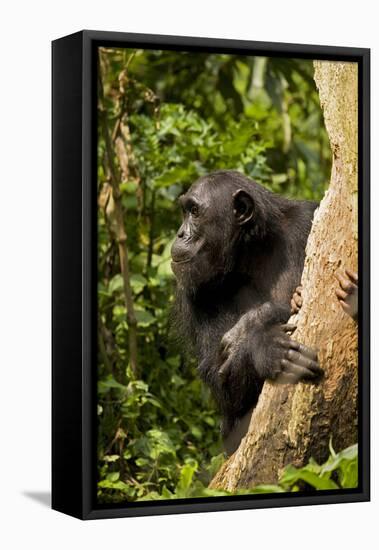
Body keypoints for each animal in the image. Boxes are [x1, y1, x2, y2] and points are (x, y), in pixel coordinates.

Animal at [172, 170, 324, 454]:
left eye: (194, 212)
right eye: (185, 211)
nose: (180, 234)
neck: (250, 252)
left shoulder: (307, 219)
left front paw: (257, 321)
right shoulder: (193, 292)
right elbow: (223, 387)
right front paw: (263, 346)